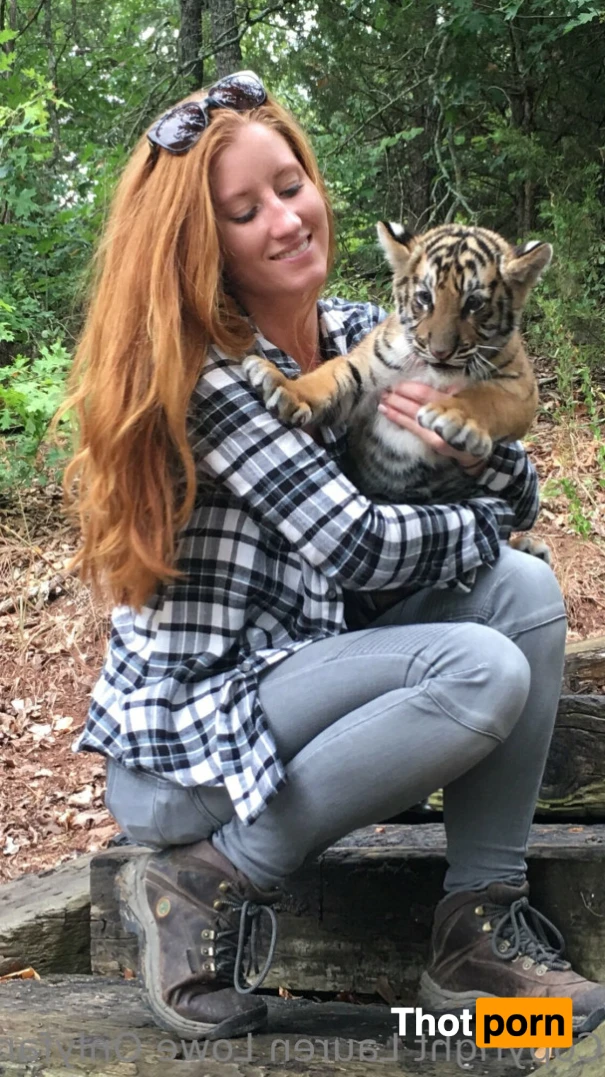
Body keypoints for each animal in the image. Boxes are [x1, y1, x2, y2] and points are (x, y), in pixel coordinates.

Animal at [243, 221, 552, 560]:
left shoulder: (520, 388)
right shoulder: (364, 373)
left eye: (474, 303)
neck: (434, 372)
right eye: (425, 297)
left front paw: (454, 418)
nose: (440, 351)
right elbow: (327, 377)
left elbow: (486, 398)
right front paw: (282, 384)